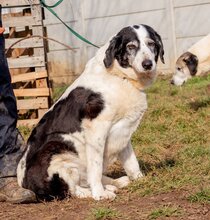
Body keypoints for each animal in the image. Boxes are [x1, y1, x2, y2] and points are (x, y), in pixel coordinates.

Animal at [16, 24, 164, 201]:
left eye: (151, 44)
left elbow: (131, 162)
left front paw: (140, 180)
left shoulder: (124, 130)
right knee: (72, 190)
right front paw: (99, 194)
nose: (148, 64)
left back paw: (115, 183)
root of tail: (23, 184)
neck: (120, 77)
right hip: (55, 149)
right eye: (131, 47)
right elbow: (96, 167)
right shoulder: (97, 129)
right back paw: (97, 191)